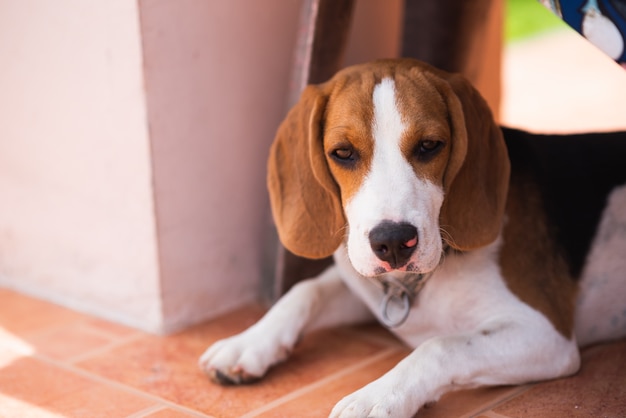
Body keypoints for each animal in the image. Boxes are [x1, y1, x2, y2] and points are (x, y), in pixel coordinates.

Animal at [199, 57, 624, 416]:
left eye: (429, 146)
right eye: (343, 153)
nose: (392, 242)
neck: (418, 283)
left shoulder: (547, 334)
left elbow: (440, 346)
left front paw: (375, 397)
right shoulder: (367, 285)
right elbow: (305, 291)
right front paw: (249, 341)